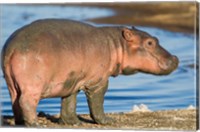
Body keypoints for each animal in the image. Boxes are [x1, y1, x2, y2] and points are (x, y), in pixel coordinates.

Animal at [1, 18, 179, 127]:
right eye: (150, 42)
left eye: (155, 39)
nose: (176, 58)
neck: (117, 44)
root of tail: (12, 48)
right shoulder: (98, 81)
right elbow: (97, 103)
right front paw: (107, 121)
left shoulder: (72, 80)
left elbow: (69, 102)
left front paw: (73, 122)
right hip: (33, 86)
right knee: (26, 102)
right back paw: (34, 124)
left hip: (11, 84)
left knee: (15, 102)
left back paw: (20, 123)